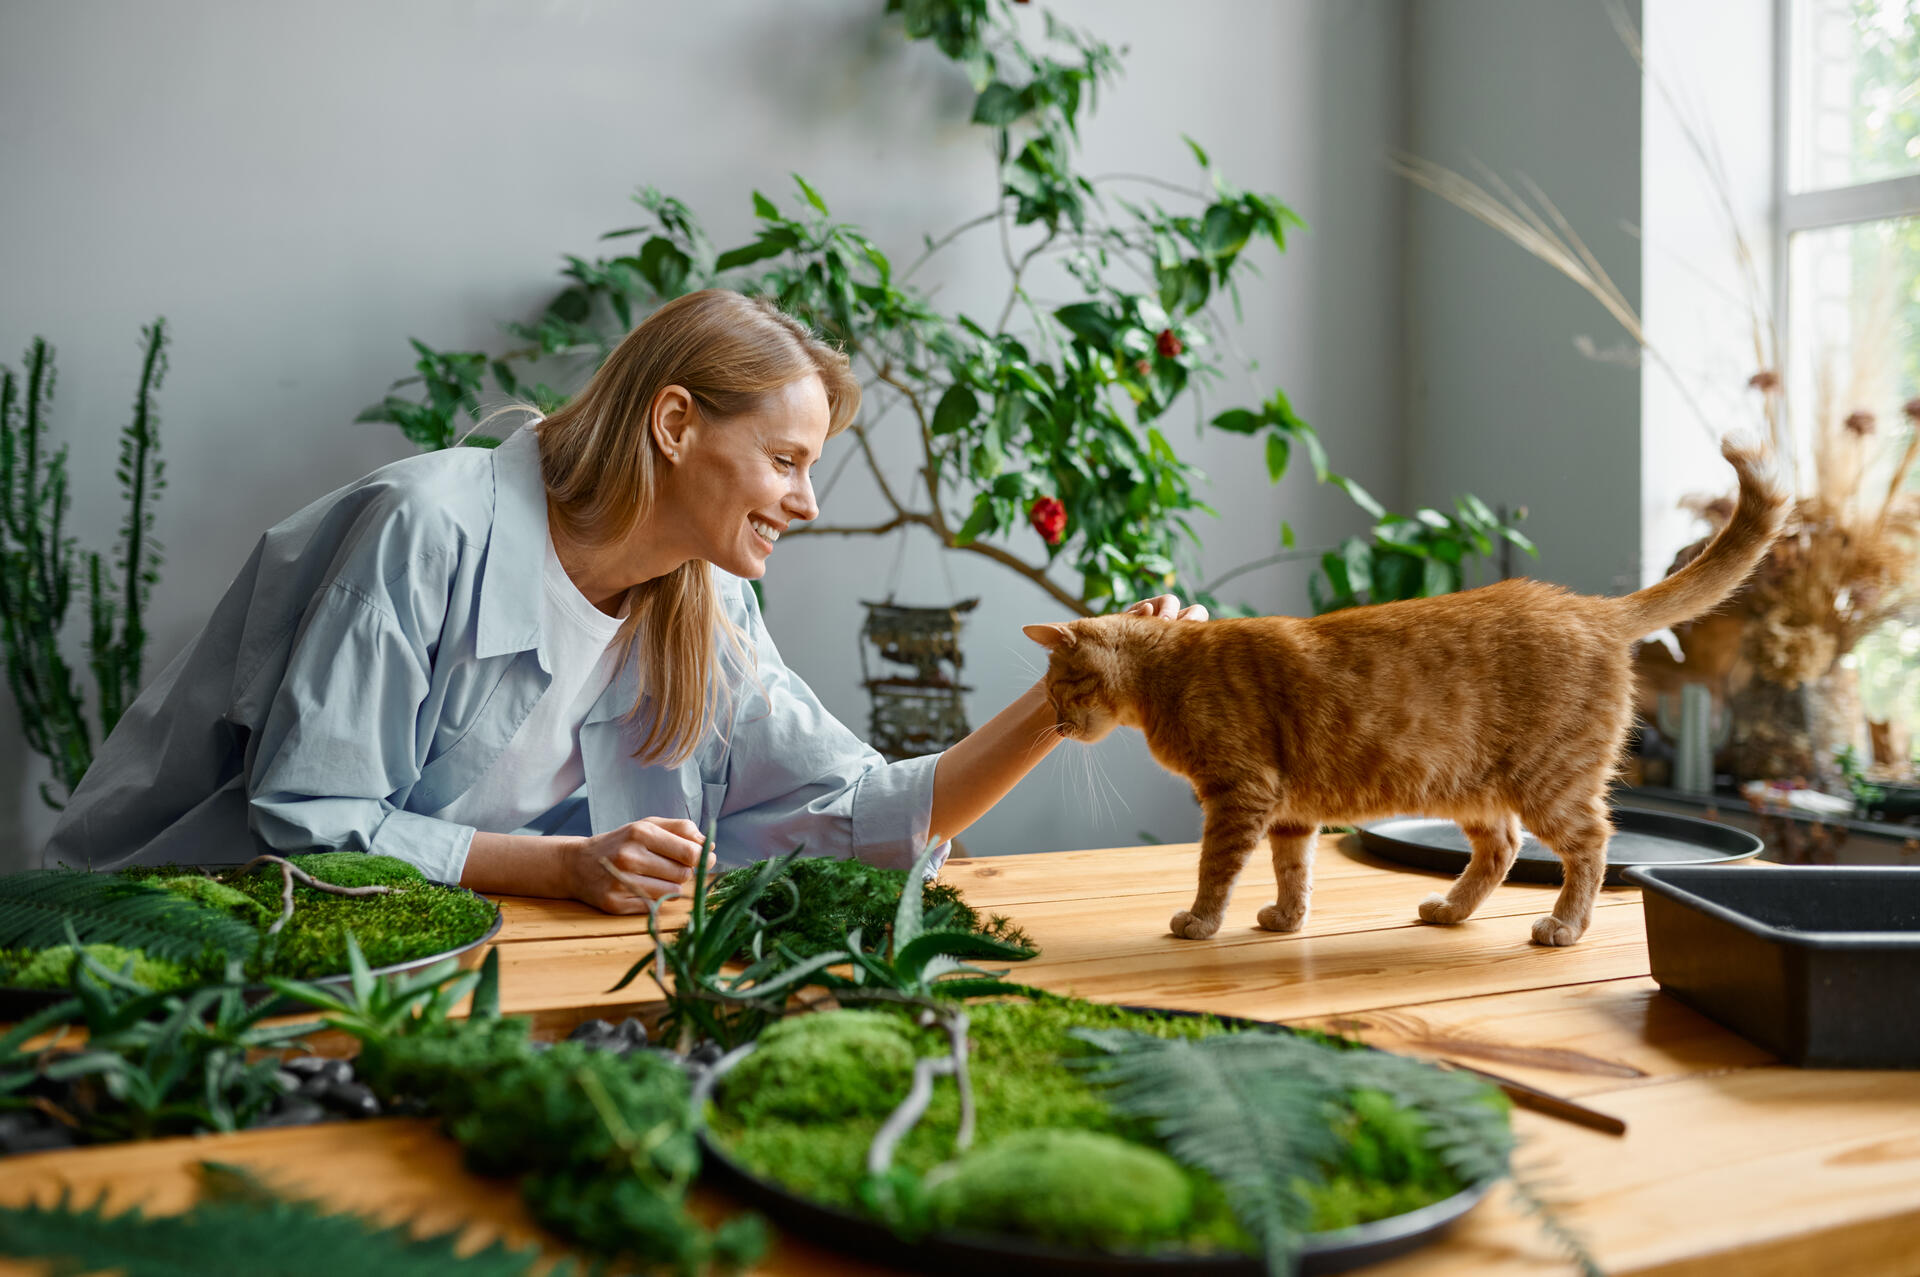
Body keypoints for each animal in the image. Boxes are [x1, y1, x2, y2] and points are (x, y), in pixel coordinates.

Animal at [1021, 437, 1781, 944]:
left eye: (1058, 690)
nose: (1054, 725)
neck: (1166, 673)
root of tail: (1591, 607)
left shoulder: (1240, 794)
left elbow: (1216, 869)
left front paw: (1201, 922)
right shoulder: (1288, 810)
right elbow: (1292, 870)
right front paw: (1285, 919)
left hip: (1551, 781)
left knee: (1592, 845)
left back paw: (1563, 925)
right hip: (1477, 788)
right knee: (1502, 848)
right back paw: (1449, 909)